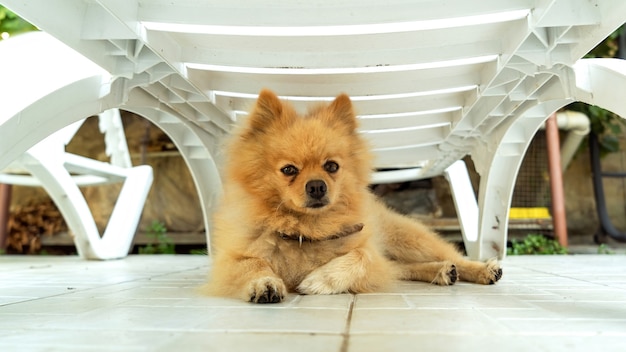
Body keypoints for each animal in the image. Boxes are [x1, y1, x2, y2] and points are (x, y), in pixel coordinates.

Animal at [202, 88, 500, 302]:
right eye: (289, 170)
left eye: (332, 167)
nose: (317, 186)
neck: (305, 229)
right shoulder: (229, 261)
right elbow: (252, 265)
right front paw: (264, 282)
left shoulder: (370, 255)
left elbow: (361, 256)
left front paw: (321, 280)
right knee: (403, 267)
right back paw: (441, 270)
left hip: (407, 239)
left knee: (446, 255)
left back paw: (481, 269)